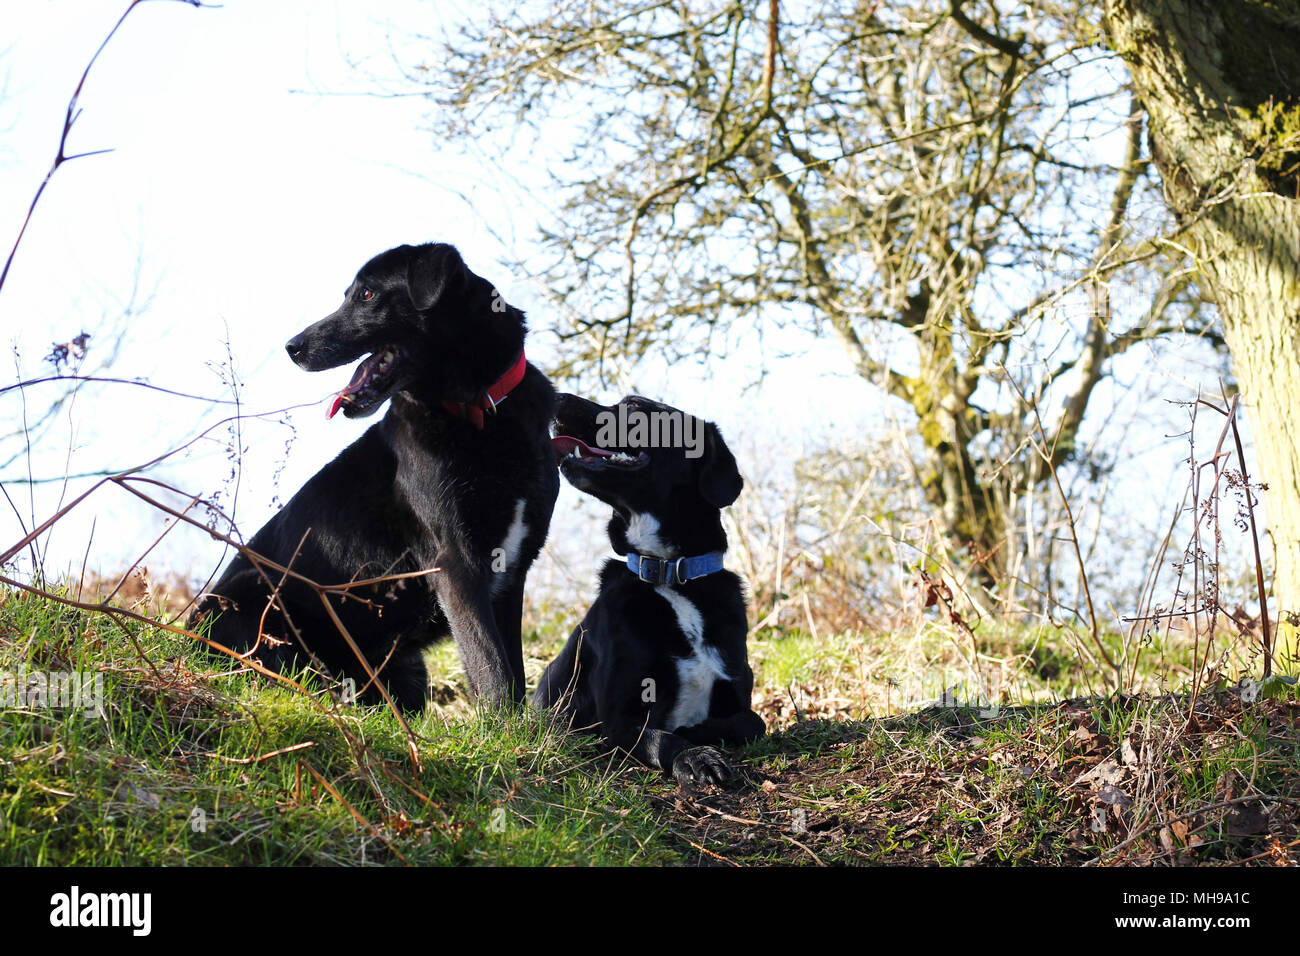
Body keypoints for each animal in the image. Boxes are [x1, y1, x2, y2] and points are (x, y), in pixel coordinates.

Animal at [189, 243, 556, 712]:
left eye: (366, 295)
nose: (292, 347)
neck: (479, 410)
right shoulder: (456, 562)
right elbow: (492, 670)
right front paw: (506, 728)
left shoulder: (510, 572)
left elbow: (509, 668)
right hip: (251, 596)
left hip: (408, 670)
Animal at [535, 392, 764, 780]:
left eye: (634, 406)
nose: (557, 397)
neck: (670, 576)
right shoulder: (617, 719)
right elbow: (663, 737)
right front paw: (698, 756)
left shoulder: (736, 691)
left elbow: (752, 722)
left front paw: (699, 734)